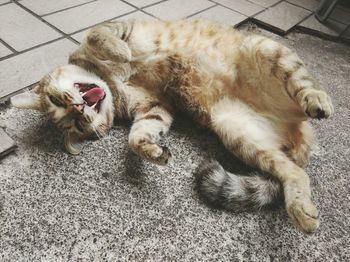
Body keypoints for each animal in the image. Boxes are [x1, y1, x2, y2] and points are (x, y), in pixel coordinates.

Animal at [10, 20, 334, 233]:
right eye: (78, 127)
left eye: (55, 100)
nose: (79, 111)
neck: (113, 85)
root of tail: (294, 125)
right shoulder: (155, 108)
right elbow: (137, 138)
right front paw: (154, 152)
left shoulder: (120, 28)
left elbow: (99, 35)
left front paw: (121, 52)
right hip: (236, 131)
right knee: (295, 173)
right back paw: (301, 209)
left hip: (263, 47)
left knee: (303, 84)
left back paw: (318, 99)